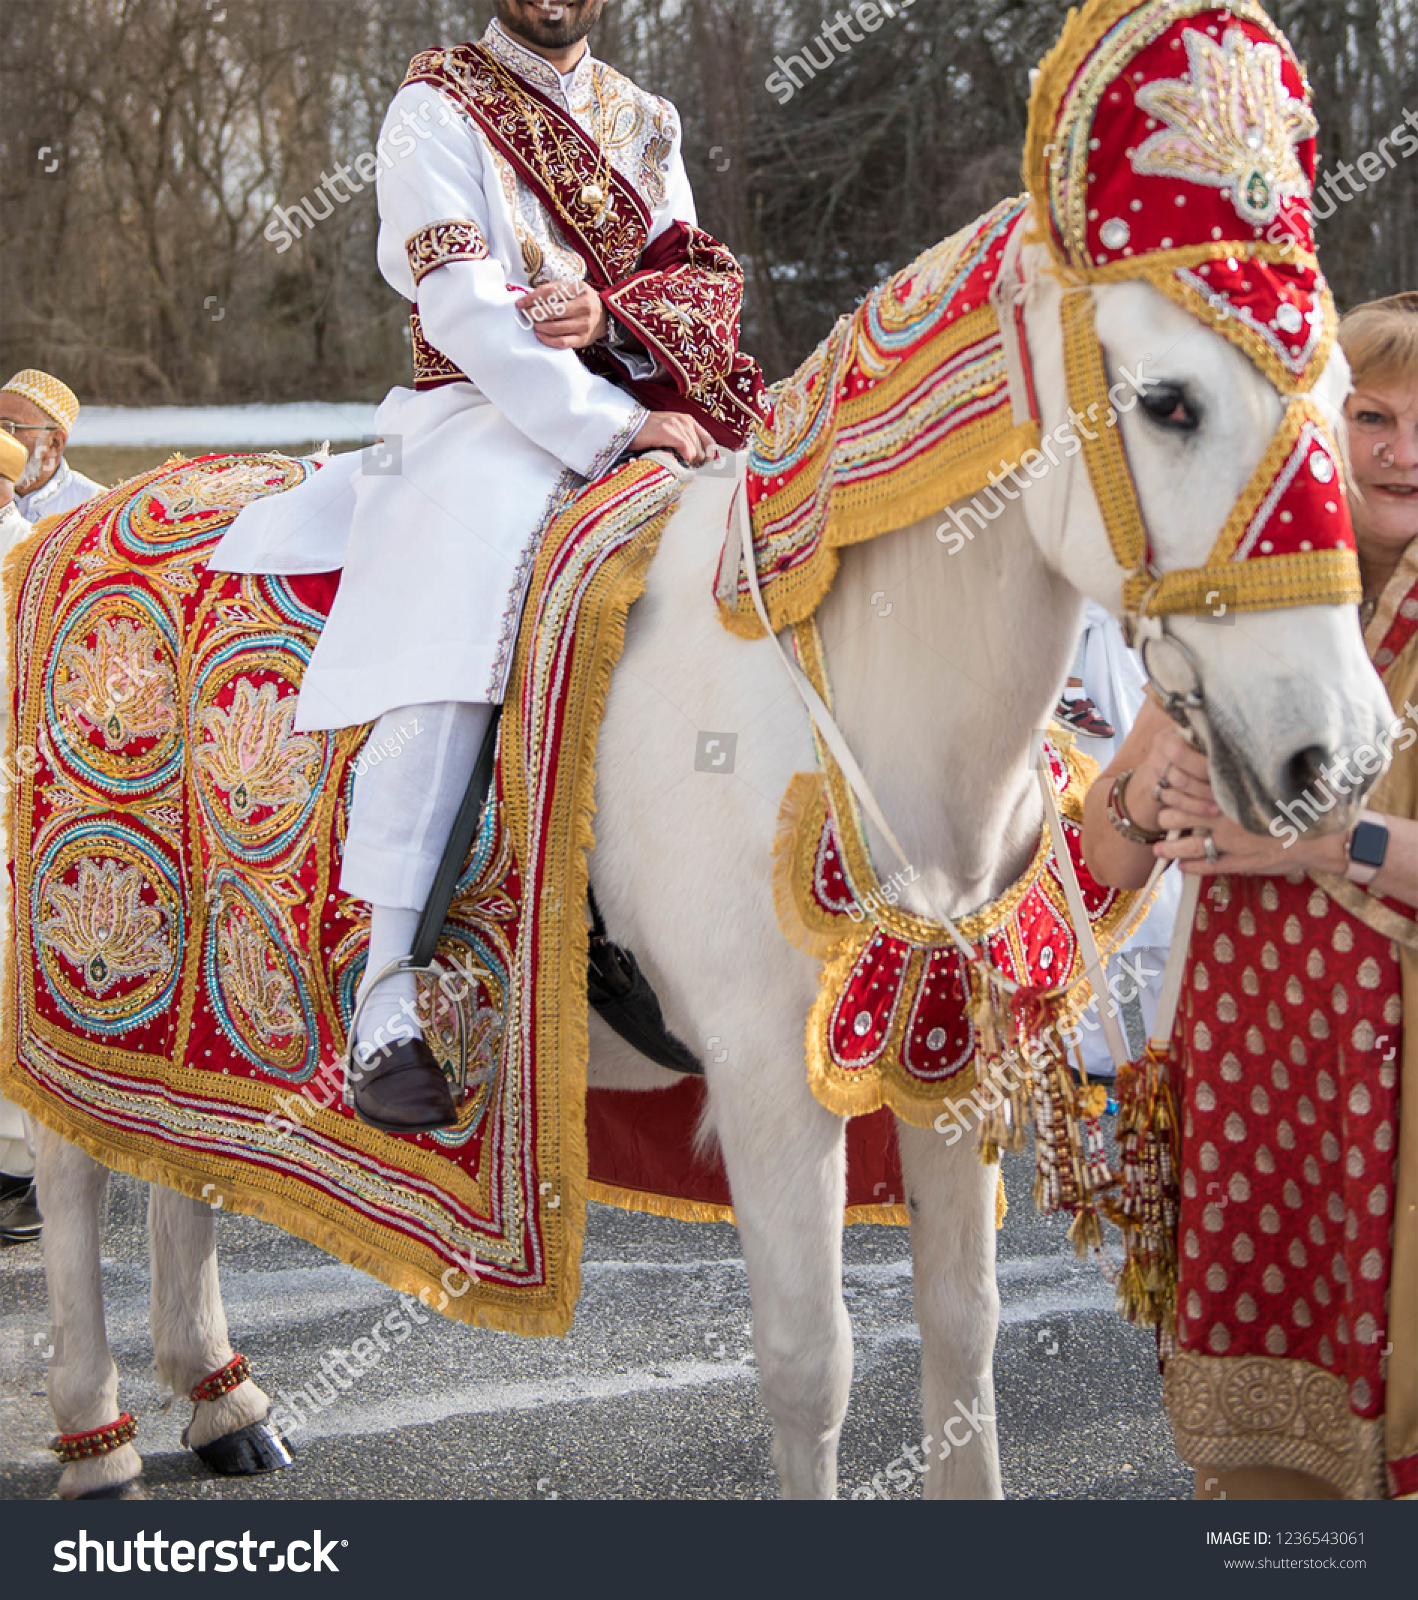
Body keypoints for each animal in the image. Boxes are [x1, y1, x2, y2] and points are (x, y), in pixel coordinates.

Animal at [36, 240, 1401, 1497]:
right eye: (1168, 401)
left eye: (1343, 401)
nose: (1336, 750)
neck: (848, 681)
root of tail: (87, 512)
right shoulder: (768, 1087)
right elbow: (812, 1366)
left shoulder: (947, 1068)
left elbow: (963, 1342)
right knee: (69, 1171)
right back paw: (98, 1431)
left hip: (219, 996)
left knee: (180, 1164)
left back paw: (222, 1400)